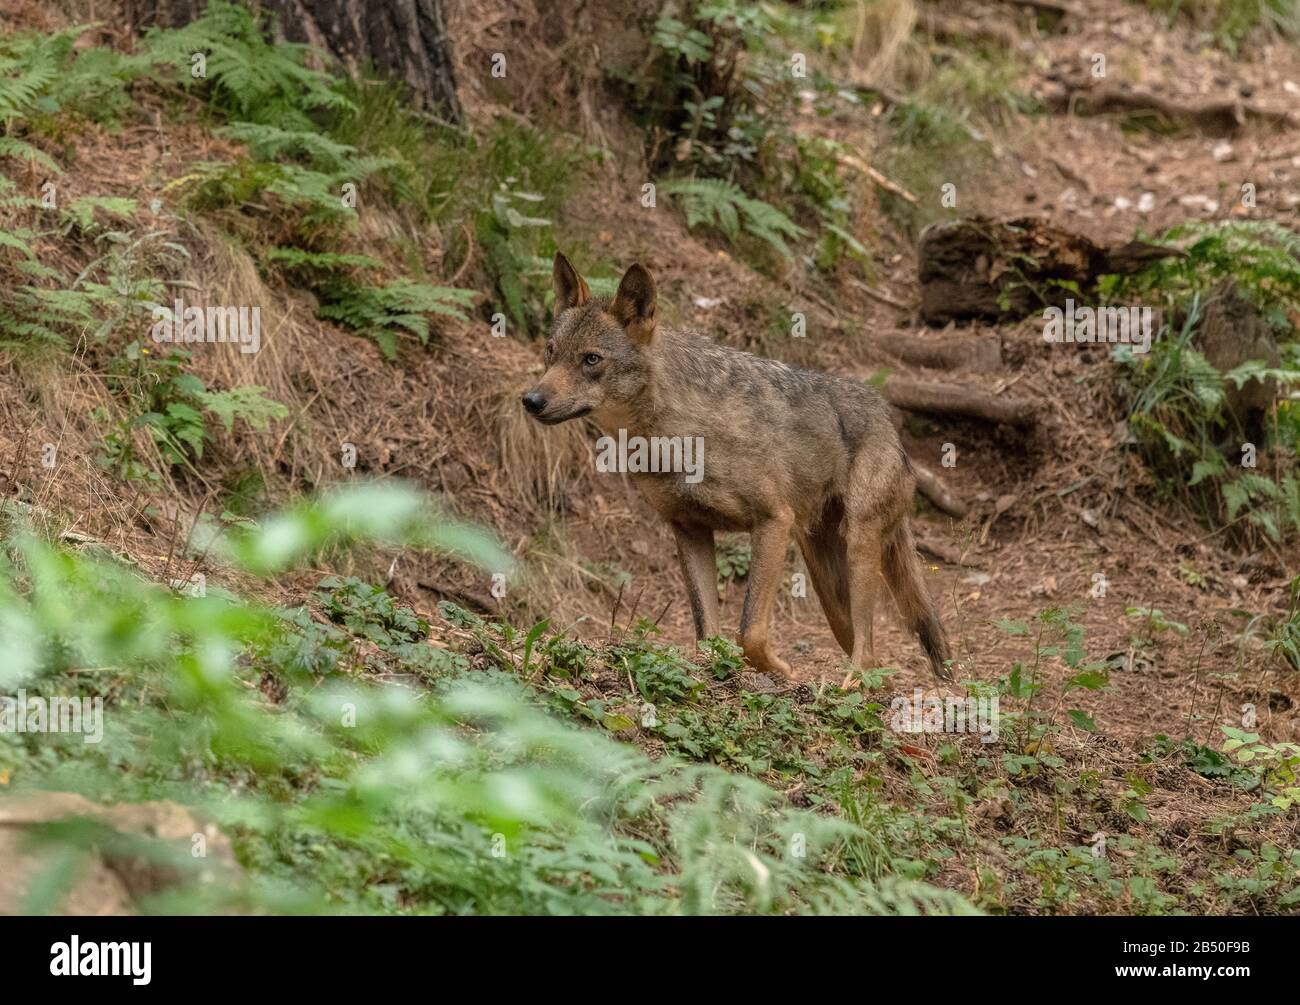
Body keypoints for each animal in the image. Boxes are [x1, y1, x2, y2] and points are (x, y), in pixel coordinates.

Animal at [522, 253, 953, 684]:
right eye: (550, 352)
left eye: (591, 359)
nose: (531, 400)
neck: (676, 434)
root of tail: (886, 416)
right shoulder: (689, 530)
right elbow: (707, 634)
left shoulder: (773, 520)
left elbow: (749, 632)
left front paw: (779, 669)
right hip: (821, 571)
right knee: (868, 653)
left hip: (857, 543)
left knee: (868, 653)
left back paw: (850, 687)